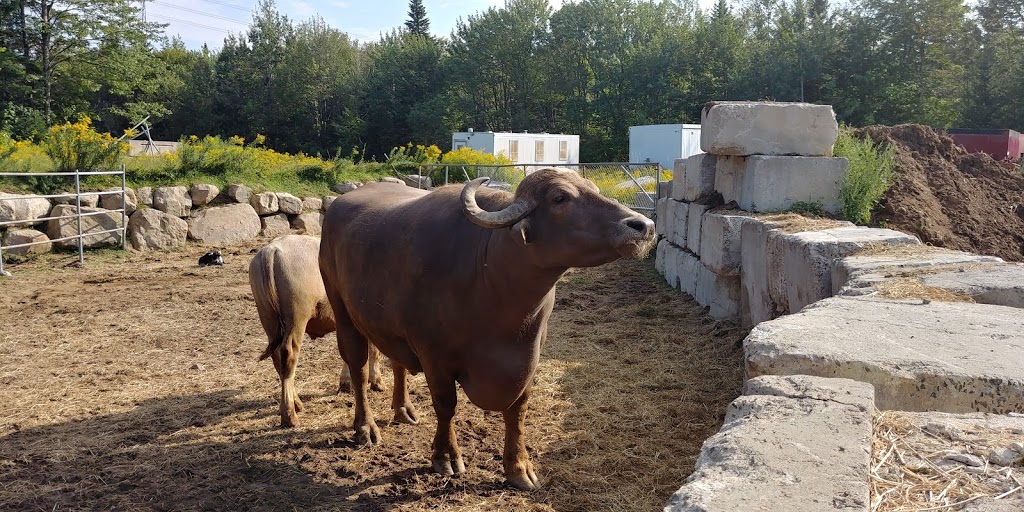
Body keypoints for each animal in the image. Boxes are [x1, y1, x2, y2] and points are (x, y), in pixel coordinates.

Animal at [247, 235, 415, 428]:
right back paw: (290, 415)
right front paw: (377, 382)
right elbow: (372, 351)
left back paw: (296, 402)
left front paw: (346, 383)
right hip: (297, 319)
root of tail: (272, 249)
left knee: (278, 360)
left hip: (269, 321)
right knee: (288, 356)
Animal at [319, 167, 655, 487]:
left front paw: (519, 468)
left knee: (397, 362)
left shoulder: (528, 357)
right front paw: (446, 457)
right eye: (560, 198)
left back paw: (404, 410)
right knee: (358, 368)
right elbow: (446, 405)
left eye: (594, 189)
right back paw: (365, 428)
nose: (644, 226)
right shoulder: (434, 356)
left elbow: (517, 411)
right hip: (342, 310)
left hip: (390, 327)